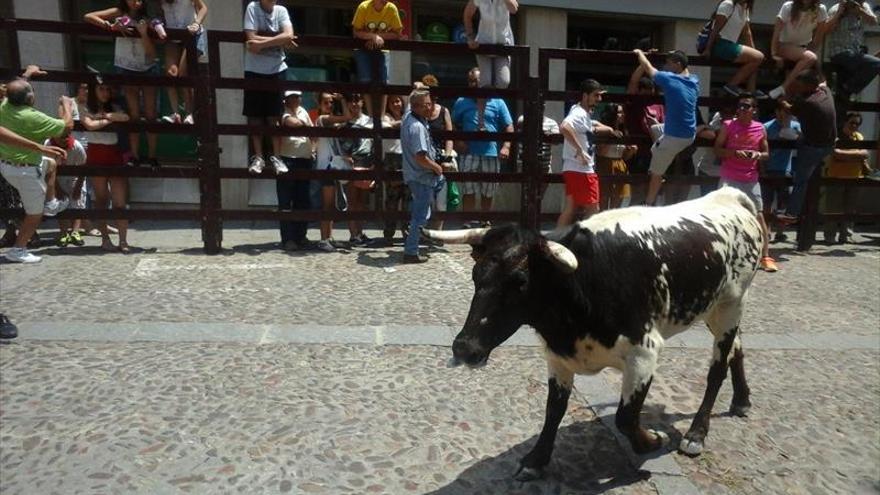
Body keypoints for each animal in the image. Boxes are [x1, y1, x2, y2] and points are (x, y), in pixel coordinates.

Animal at [426, 188, 764, 482]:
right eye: (476, 275)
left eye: (520, 281)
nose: (464, 348)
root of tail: (728, 195)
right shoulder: (557, 357)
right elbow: (554, 410)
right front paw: (536, 460)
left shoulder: (644, 351)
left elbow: (626, 417)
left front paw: (653, 441)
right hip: (715, 309)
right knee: (737, 348)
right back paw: (742, 400)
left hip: (732, 304)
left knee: (717, 368)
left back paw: (696, 433)